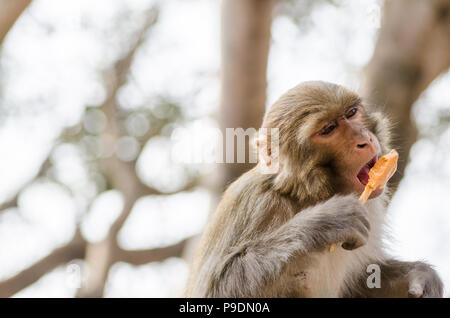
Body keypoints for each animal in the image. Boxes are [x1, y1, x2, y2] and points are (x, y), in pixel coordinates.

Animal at [184, 80, 442, 296]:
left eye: (351, 113)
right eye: (328, 129)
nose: (364, 139)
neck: (309, 194)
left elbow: (365, 280)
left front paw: (420, 276)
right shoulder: (257, 204)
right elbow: (215, 289)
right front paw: (327, 222)